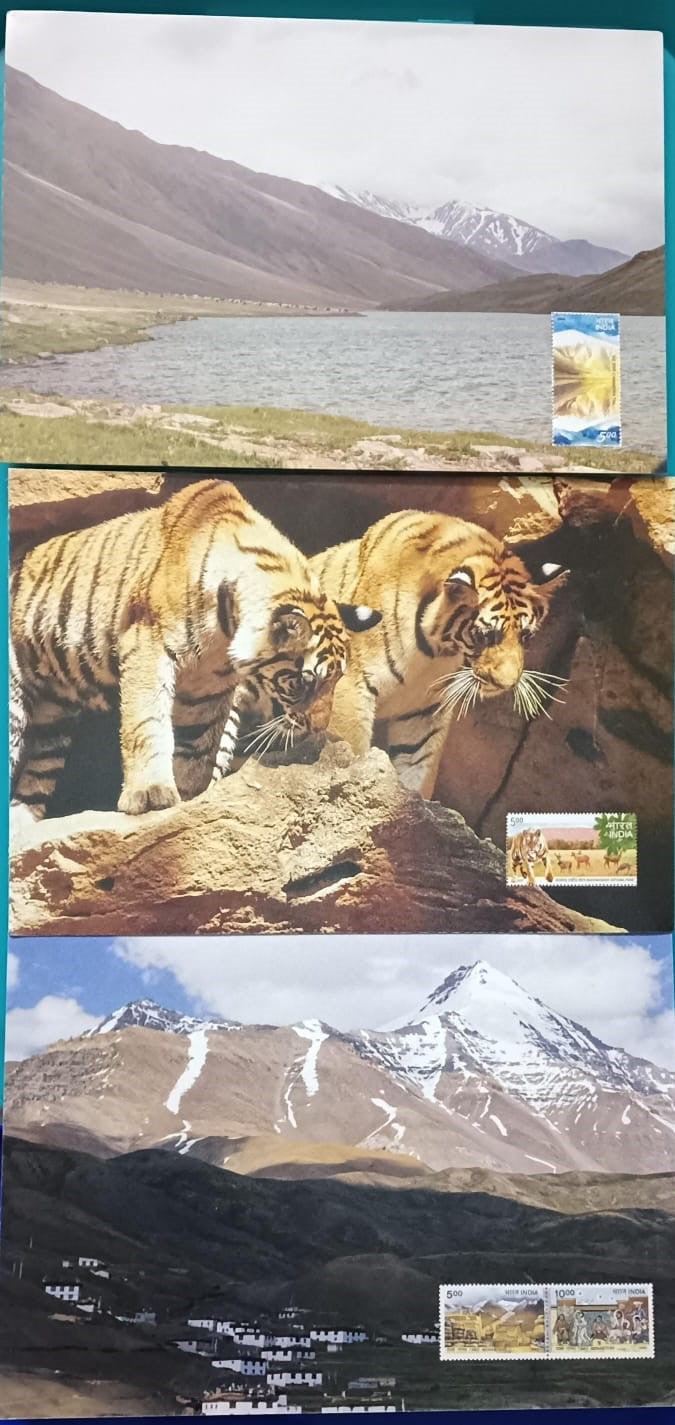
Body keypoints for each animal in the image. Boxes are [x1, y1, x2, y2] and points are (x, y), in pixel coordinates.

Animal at [10, 479, 380, 820]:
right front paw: (150, 795)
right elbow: (149, 721)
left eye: (335, 681)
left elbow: (198, 748)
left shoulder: (209, 686)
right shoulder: (146, 646)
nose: (318, 729)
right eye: (304, 682)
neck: (226, 629)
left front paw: (192, 804)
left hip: (52, 722)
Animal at [307, 509, 567, 799]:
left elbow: (419, 770)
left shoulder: (425, 711)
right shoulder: (351, 685)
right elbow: (352, 751)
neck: (432, 652)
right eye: (485, 635)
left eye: (525, 636)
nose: (506, 683)